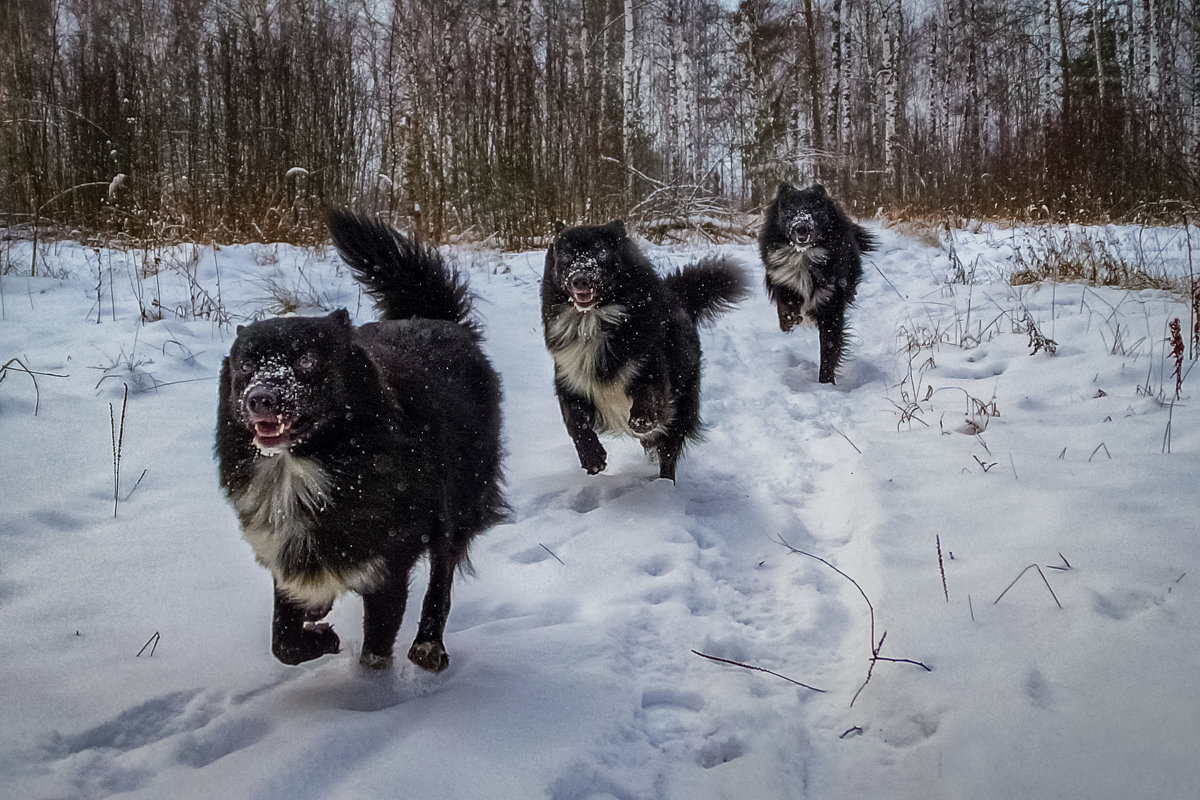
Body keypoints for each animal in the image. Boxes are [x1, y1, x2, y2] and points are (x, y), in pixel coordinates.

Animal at [216, 209, 506, 671]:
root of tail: (435, 319)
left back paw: (429, 645)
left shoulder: (390, 563)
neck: (304, 467)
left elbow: (376, 646)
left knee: (441, 576)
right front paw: (318, 635)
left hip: (459, 501)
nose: (260, 398)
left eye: (306, 360)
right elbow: (283, 642)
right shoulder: (286, 549)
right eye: (246, 365)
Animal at [542, 220, 744, 482]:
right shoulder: (569, 378)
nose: (580, 279)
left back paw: (664, 484)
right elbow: (576, 421)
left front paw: (642, 419)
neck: (593, 322)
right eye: (567, 255)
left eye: (601, 253)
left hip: (681, 407)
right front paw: (592, 458)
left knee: (667, 453)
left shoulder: (650, 362)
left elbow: (648, 389)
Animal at [763, 183, 878, 383]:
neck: (803, 257)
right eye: (790, 211)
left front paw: (825, 383)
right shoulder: (779, 277)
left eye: (813, 210)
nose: (801, 227)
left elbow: (829, 348)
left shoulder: (831, 304)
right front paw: (790, 319)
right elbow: (785, 300)